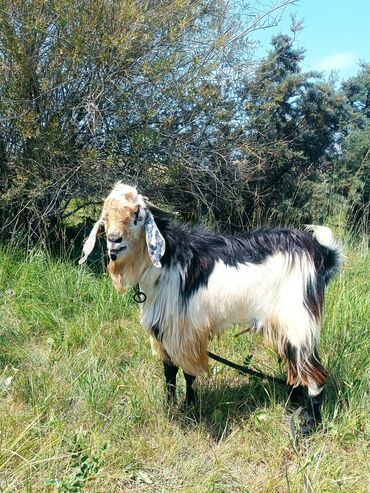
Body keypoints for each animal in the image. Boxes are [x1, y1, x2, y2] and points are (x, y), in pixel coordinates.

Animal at [79, 183, 342, 432]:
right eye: (105, 216)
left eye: (137, 214)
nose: (114, 241)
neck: (167, 259)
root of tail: (320, 252)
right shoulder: (166, 330)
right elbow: (170, 372)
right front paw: (172, 407)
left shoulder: (181, 330)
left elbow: (186, 372)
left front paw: (187, 407)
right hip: (283, 326)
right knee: (296, 369)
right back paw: (291, 406)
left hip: (299, 320)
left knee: (315, 373)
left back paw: (310, 425)